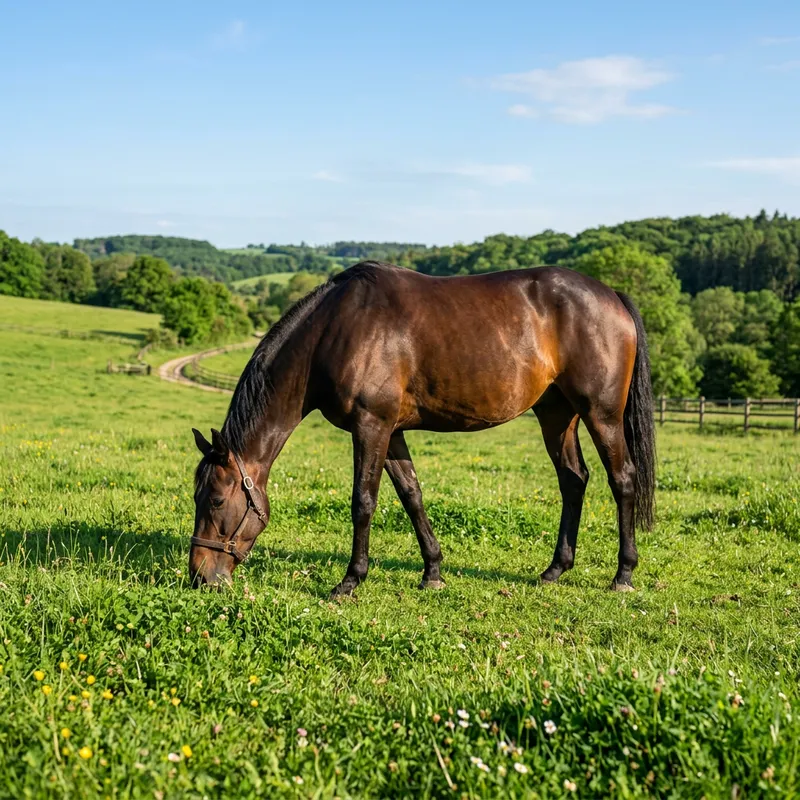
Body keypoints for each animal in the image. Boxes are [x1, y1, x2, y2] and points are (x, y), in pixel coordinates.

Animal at [190, 260, 656, 596]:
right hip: (557, 415)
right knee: (573, 480)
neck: (335, 331)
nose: (199, 576)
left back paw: (623, 574)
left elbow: (363, 502)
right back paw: (555, 569)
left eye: (215, 500)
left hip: (601, 414)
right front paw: (432, 571)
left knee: (622, 480)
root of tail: (612, 295)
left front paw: (351, 580)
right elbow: (411, 495)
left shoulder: (371, 426)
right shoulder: (391, 431)